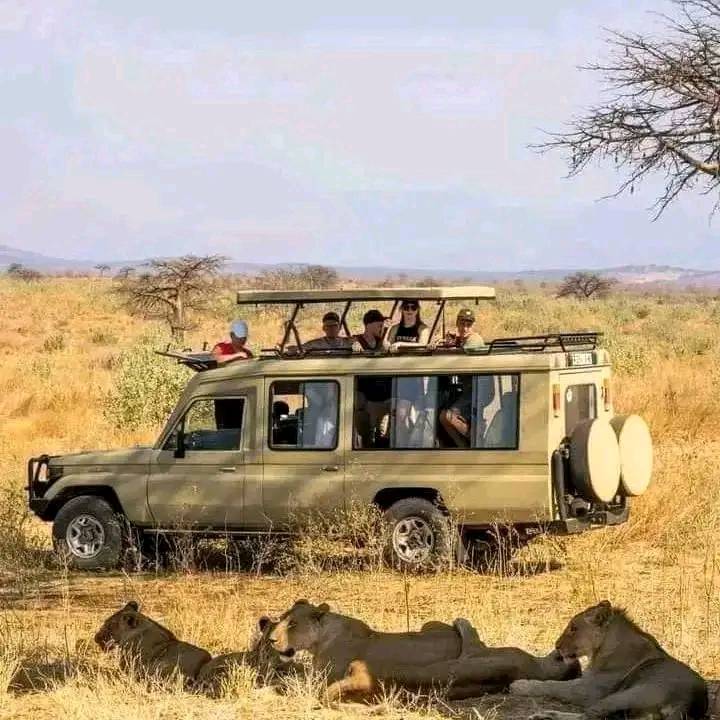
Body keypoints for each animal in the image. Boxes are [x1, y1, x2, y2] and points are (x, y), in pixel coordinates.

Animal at [509, 600, 708, 720]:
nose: (556, 645)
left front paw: (520, 685)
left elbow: (553, 686)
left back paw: (544, 714)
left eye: (573, 628)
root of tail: (687, 702)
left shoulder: (588, 690)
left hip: (622, 695)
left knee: (587, 716)